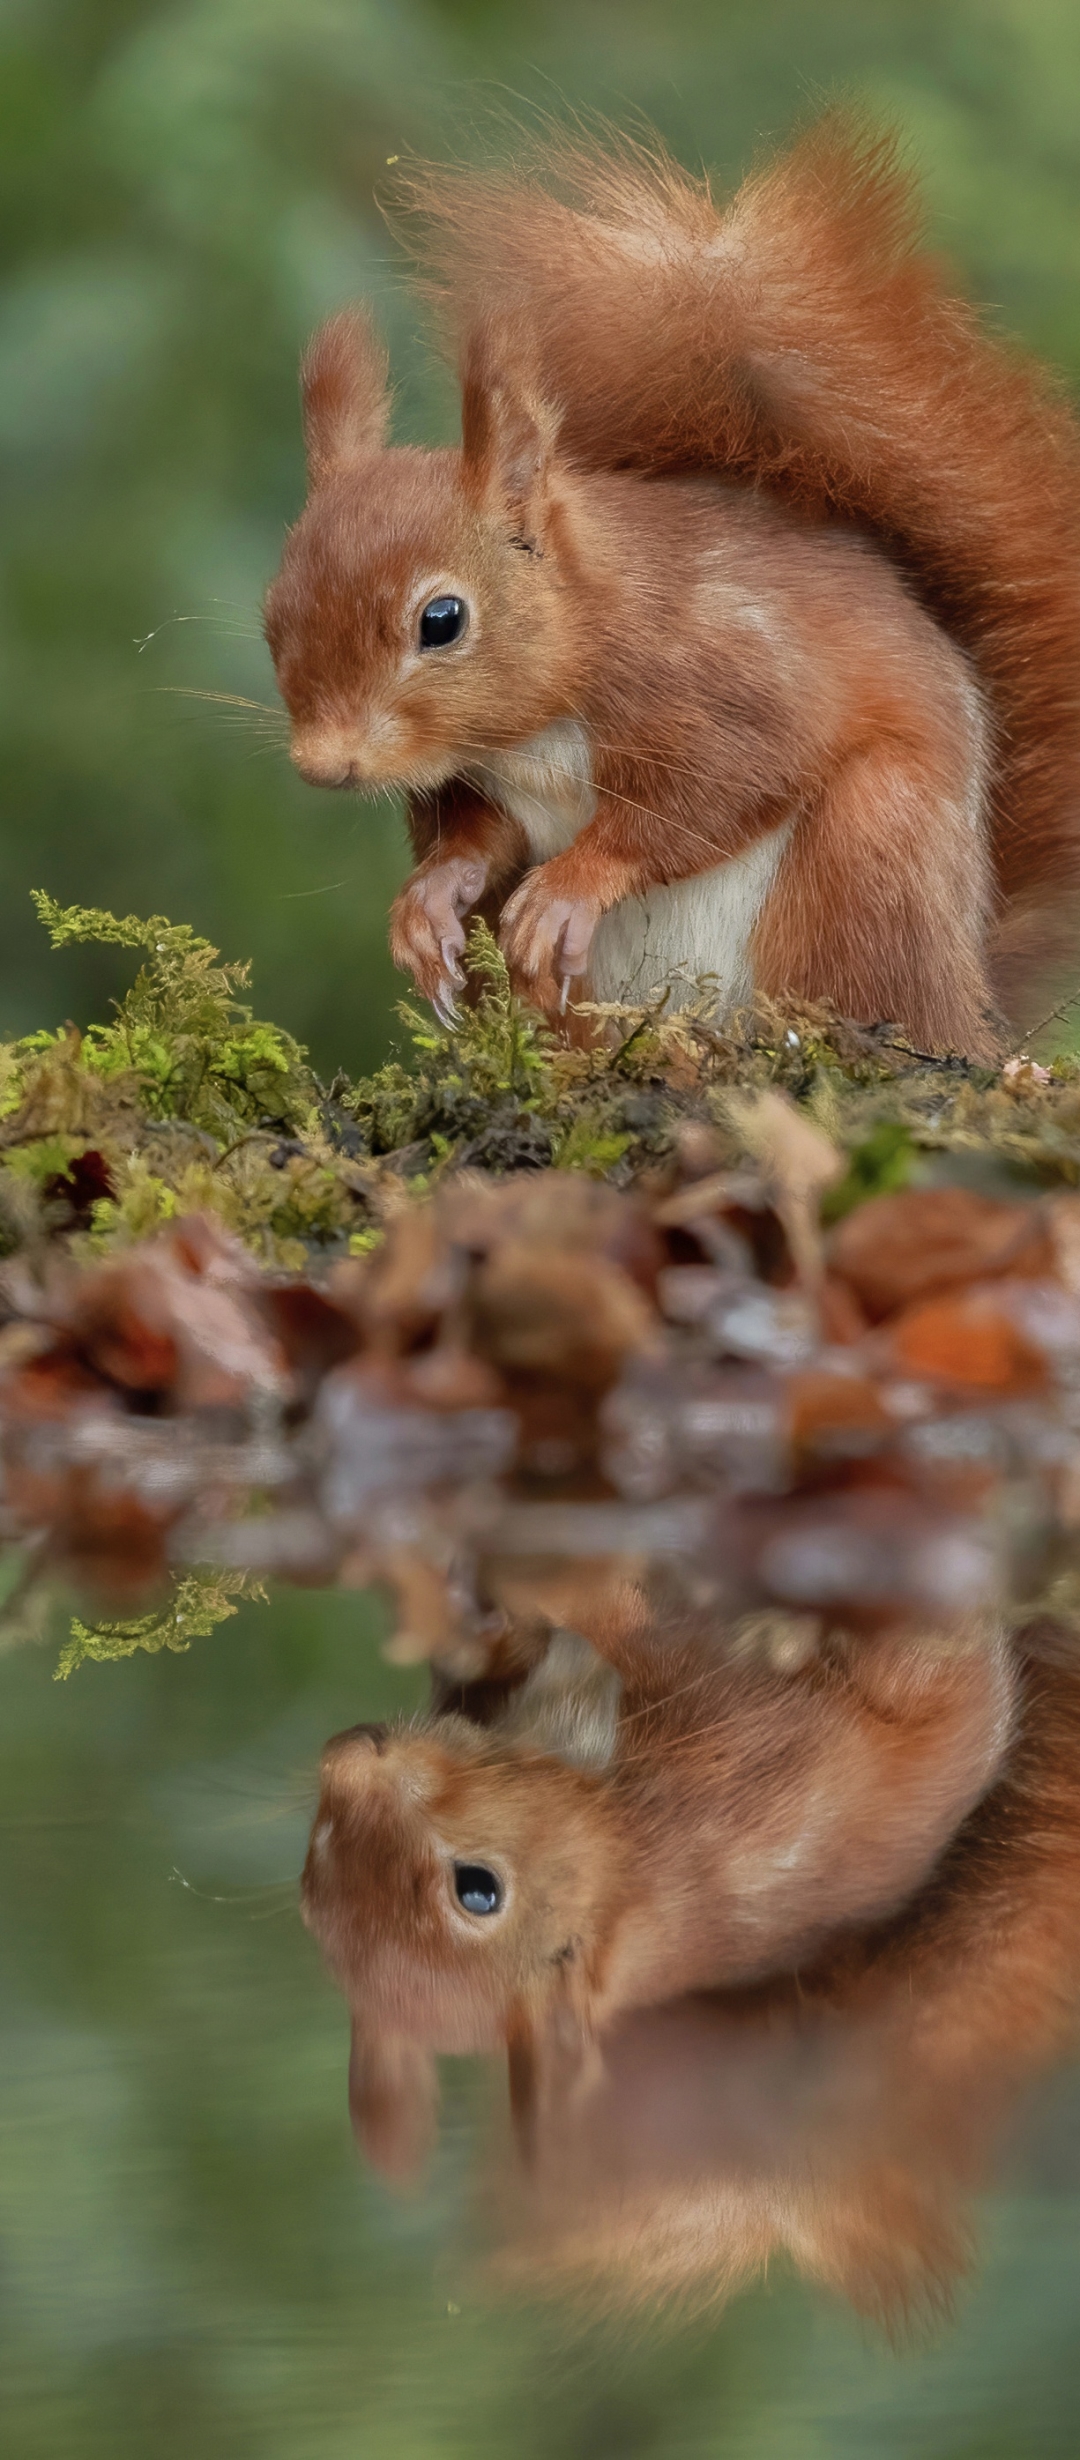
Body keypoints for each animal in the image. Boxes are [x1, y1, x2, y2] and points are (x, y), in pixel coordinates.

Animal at [264, 117, 1080, 1057]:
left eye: (442, 619)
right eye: (270, 619)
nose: (323, 765)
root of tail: (972, 1000)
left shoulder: (725, 669)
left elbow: (716, 789)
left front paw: (573, 886)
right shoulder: (486, 777)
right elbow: (479, 836)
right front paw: (430, 898)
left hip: (871, 858)